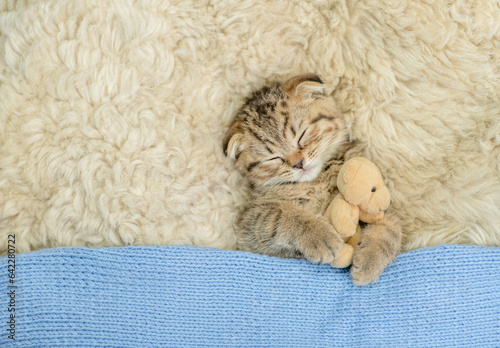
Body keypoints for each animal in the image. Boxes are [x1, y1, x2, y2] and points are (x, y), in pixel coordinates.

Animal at [223, 74, 402, 286]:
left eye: (302, 135)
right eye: (273, 158)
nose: (298, 164)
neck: (317, 181)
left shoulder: (378, 201)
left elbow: (390, 226)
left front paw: (370, 260)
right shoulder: (249, 224)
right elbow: (282, 217)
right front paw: (321, 236)